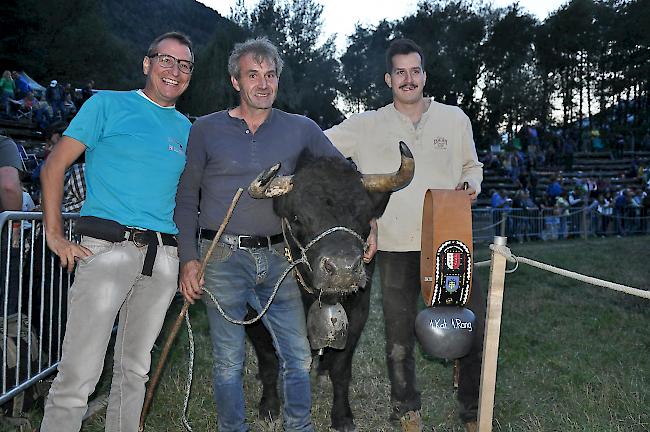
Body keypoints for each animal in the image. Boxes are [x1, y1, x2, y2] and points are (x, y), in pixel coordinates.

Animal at [246, 143, 412, 432]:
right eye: (297, 217)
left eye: (364, 216)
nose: (343, 268)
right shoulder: (254, 314)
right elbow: (268, 359)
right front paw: (268, 407)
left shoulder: (359, 311)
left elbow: (341, 367)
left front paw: (342, 416)